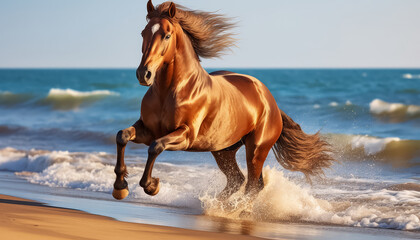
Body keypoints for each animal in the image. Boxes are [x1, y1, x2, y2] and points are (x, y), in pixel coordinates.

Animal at [112, 0, 334, 201]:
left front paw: (151, 185)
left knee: (253, 185)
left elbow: (155, 147)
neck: (170, 92)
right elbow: (122, 136)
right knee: (237, 180)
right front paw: (120, 186)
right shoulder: (148, 129)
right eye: (143, 33)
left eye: (167, 35)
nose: (144, 74)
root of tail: (271, 102)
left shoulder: (185, 135)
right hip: (223, 150)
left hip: (256, 150)